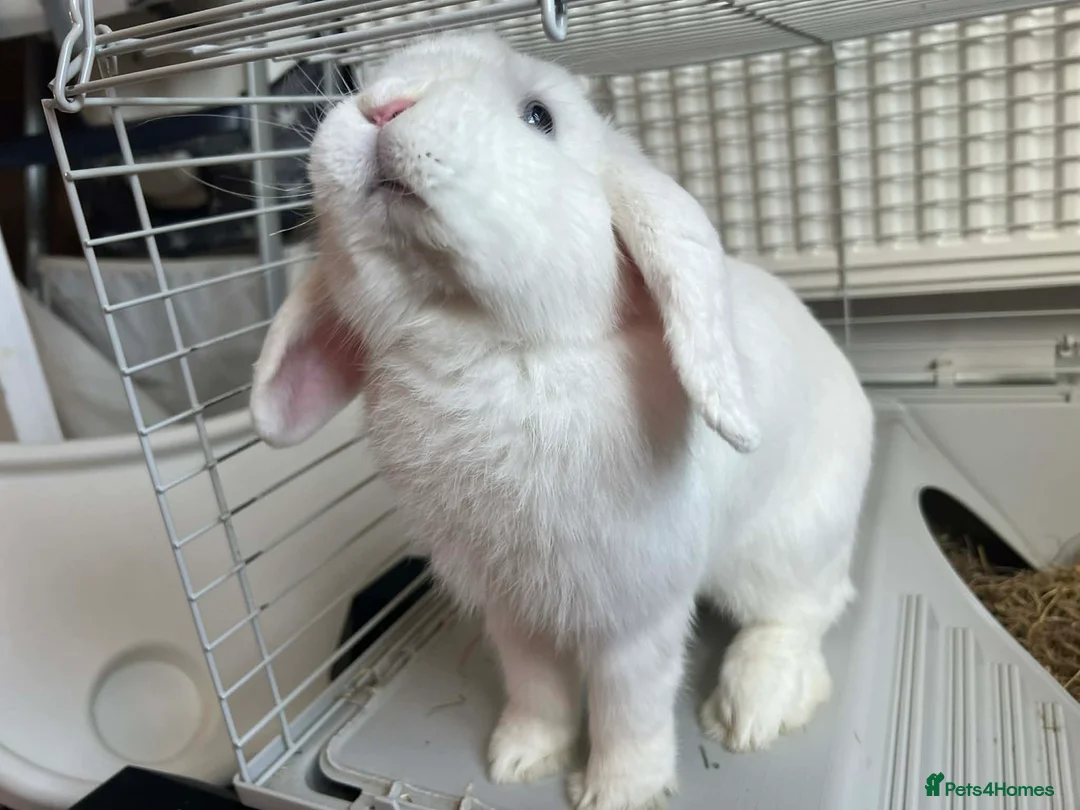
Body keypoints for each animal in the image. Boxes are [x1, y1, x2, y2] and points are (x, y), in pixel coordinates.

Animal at [248, 30, 874, 810]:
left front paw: (618, 792)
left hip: (785, 548)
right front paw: (518, 760)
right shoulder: (513, 612)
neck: (491, 350)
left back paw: (749, 711)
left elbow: (628, 706)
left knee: (805, 612)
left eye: (539, 117)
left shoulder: (633, 615)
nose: (381, 105)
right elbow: (537, 689)